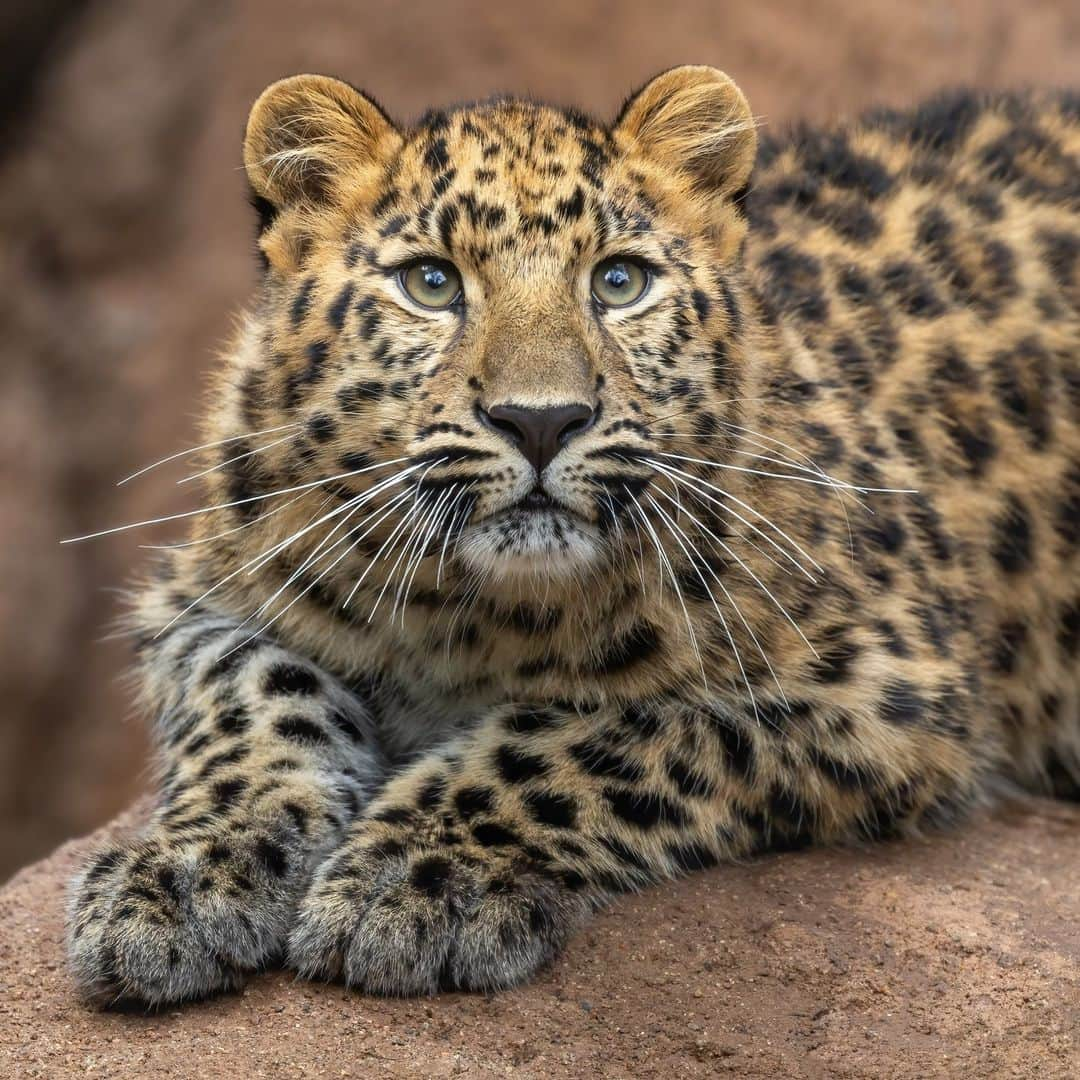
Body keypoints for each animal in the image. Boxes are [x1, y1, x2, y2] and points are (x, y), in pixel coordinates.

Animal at [67, 67, 1080, 1002]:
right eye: (431, 282)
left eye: (618, 281)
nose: (542, 421)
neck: (469, 615)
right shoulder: (200, 600)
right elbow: (253, 698)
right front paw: (177, 879)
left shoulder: (890, 680)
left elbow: (581, 733)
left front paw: (412, 881)